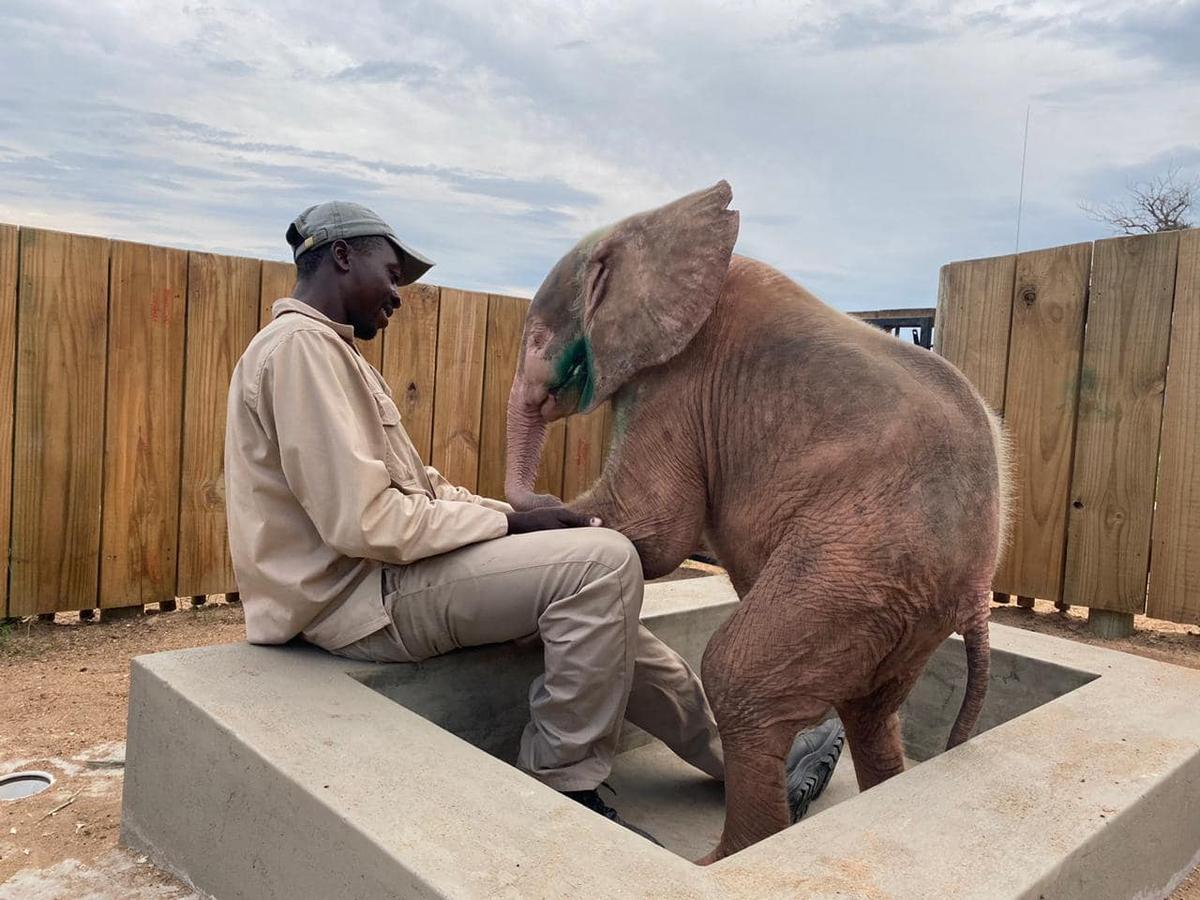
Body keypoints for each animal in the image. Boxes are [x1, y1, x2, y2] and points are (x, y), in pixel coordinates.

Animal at [503, 181, 1008, 863]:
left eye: (535, 338)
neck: (652, 226)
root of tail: (977, 592)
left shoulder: (678, 378)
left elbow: (653, 527)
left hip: (863, 562)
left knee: (737, 677)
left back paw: (722, 857)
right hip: (901, 602)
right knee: (871, 715)